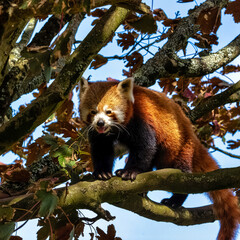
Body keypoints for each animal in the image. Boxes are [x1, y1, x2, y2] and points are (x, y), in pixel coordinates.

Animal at [79, 77, 240, 240]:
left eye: (109, 111)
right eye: (93, 112)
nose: (100, 123)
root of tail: (192, 134)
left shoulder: (141, 118)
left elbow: (144, 146)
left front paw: (129, 172)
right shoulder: (99, 135)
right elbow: (101, 150)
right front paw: (102, 173)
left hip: (177, 147)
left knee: (181, 177)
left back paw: (175, 200)